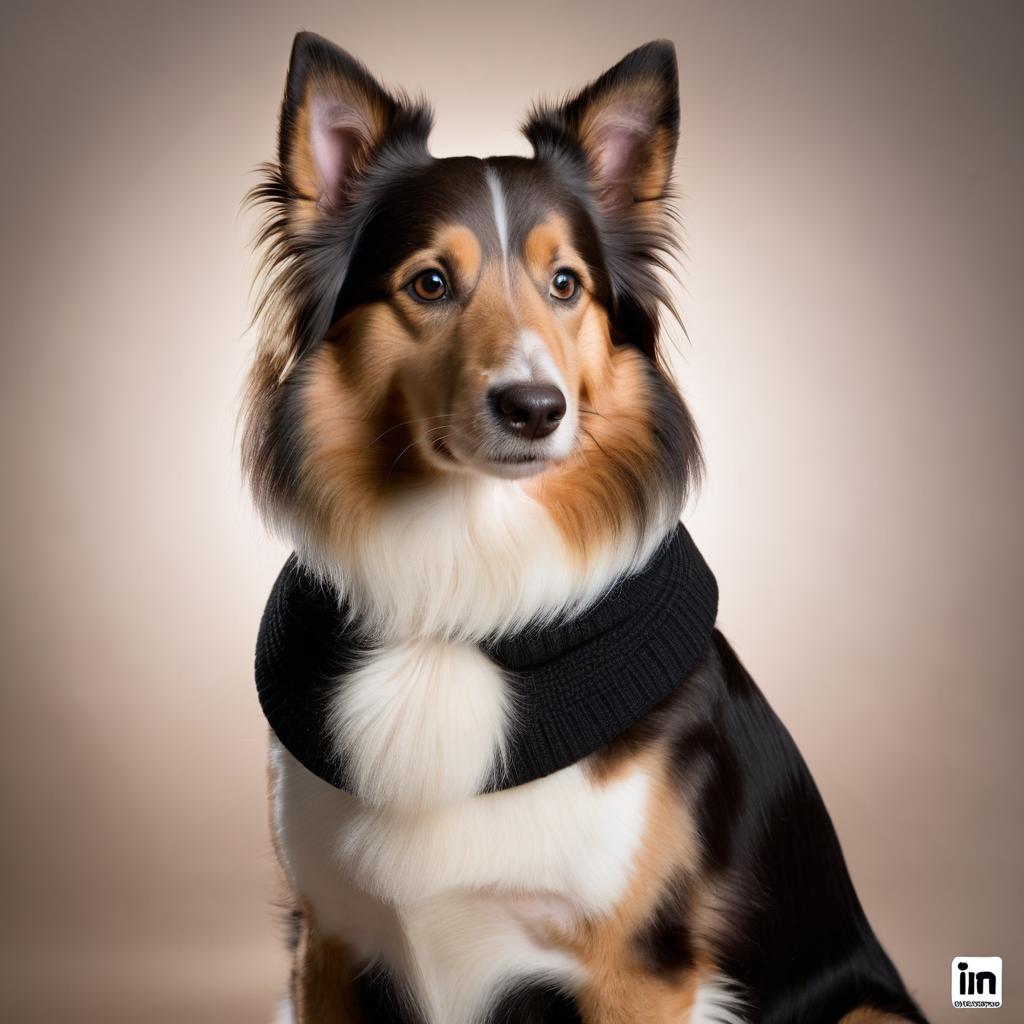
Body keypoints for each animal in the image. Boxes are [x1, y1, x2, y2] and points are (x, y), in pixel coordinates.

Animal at [241, 28, 929, 1019]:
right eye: (431, 283)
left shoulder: (639, 971)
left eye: (565, 283)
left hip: (867, 1005)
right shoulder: (326, 943)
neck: (462, 582)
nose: (534, 408)